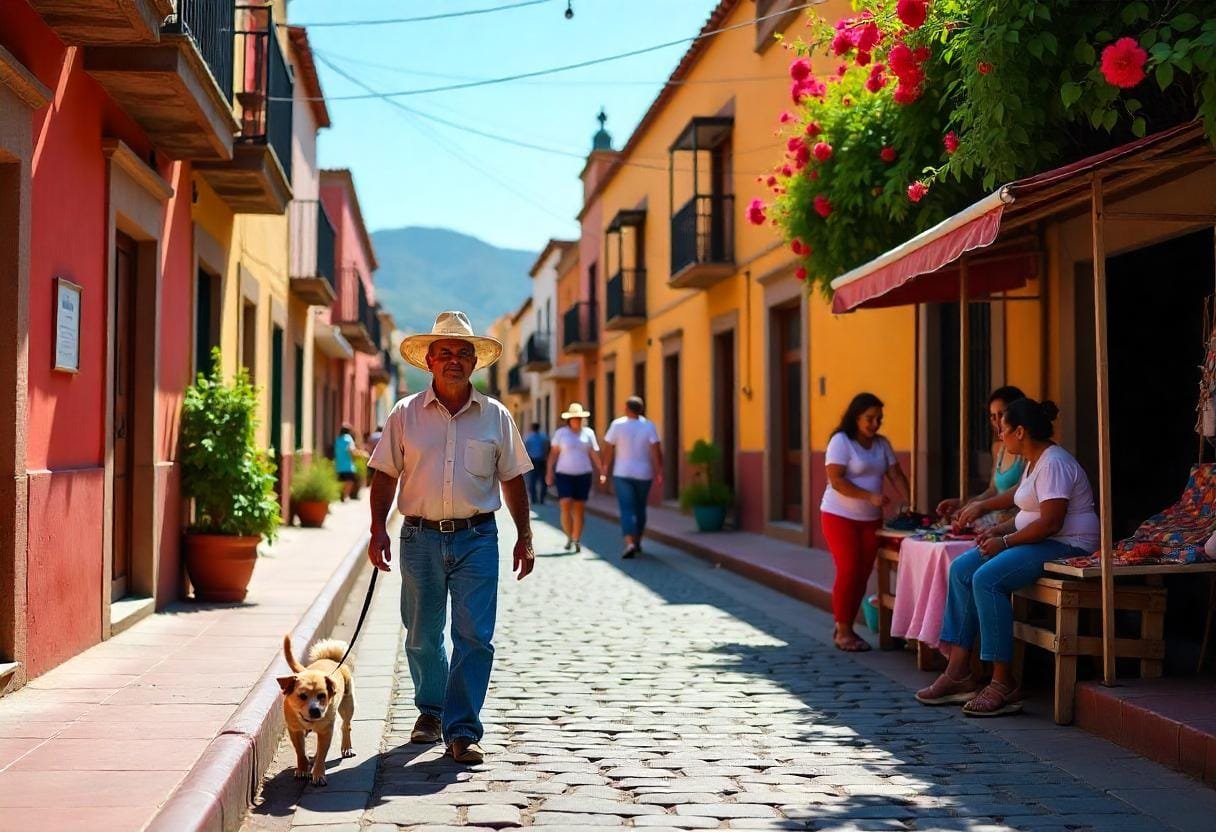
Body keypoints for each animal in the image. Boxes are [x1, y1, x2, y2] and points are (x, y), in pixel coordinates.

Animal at [282, 637, 357, 788]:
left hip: (347, 705)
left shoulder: (325, 732)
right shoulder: (295, 731)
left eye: (322, 695)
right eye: (302, 696)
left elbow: (322, 754)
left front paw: (318, 774)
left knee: (346, 725)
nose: (315, 710)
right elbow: (300, 751)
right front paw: (302, 769)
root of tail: (331, 660)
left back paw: (346, 747)